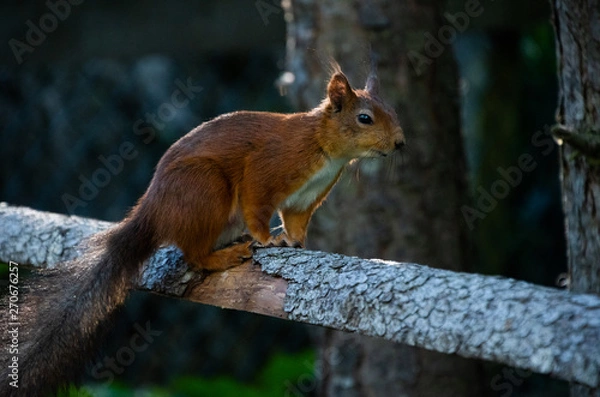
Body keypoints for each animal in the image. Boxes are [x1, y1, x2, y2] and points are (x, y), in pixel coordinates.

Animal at [0, 63, 406, 394]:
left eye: (393, 111)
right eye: (365, 118)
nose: (401, 143)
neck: (325, 149)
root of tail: (154, 211)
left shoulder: (304, 200)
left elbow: (295, 223)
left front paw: (296, 244)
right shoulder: (267, 168)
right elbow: (258, 205)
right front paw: (266, 239)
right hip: (205, 187)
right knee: (193, 254)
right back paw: (228, 253)